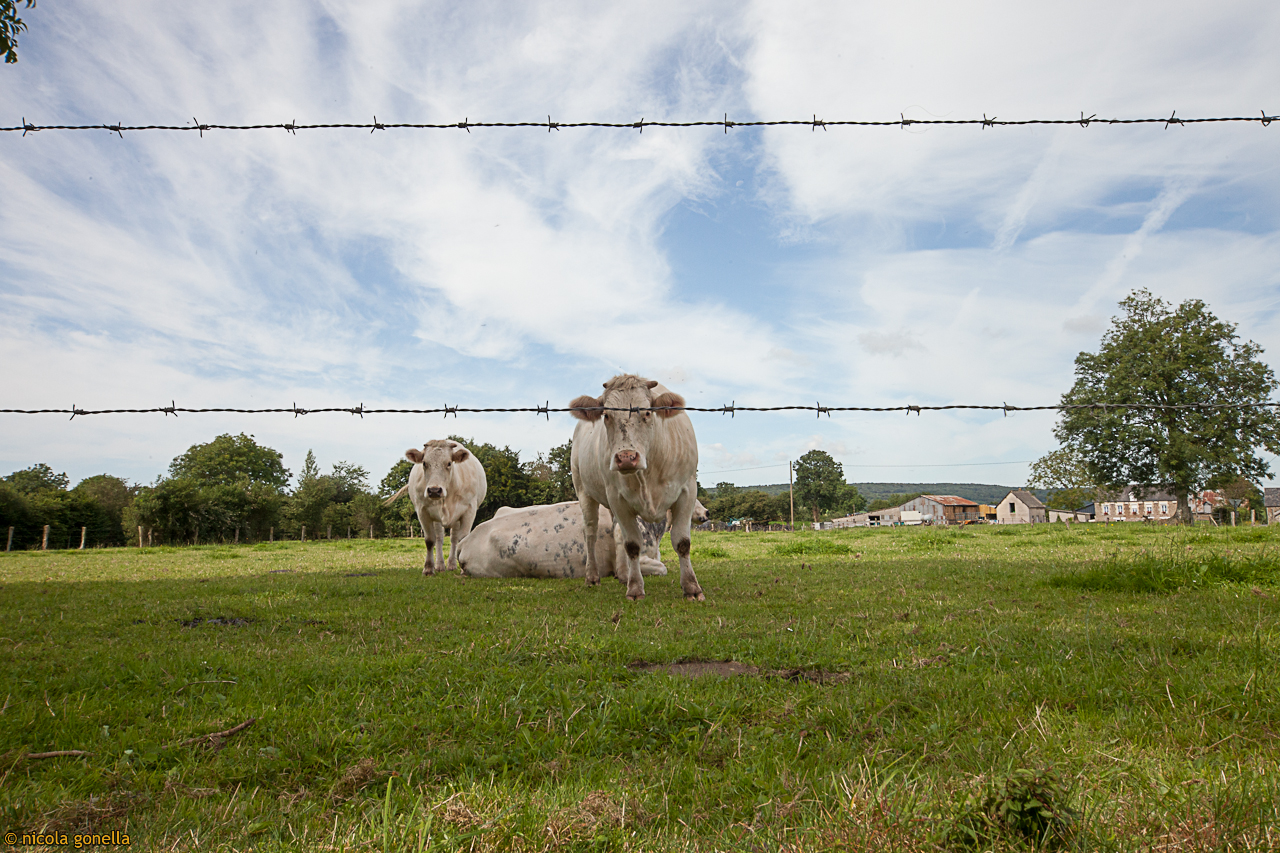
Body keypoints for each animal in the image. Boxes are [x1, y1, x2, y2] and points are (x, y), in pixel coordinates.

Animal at [383, 439, 487, 574]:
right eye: (424, 463)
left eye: (449, 463)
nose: (434, 490)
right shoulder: (422, 511)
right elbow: (430, 540)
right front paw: (428, 568)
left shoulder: (469, 510)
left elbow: (462, 539)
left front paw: (464, 569)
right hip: (437, 519)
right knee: (439, 538)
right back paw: (440, 565)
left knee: (454, 539)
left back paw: (452, 564)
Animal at [569, 374, 703, 601]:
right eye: (606, 415)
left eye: (648, 412)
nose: (626, 458)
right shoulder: (617, 498)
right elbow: (632, 545)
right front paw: (635, 589)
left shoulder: (687, 490)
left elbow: (682, 542)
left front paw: (691, 587)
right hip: (584, 491)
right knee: (591, 533)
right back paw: (592, 577)